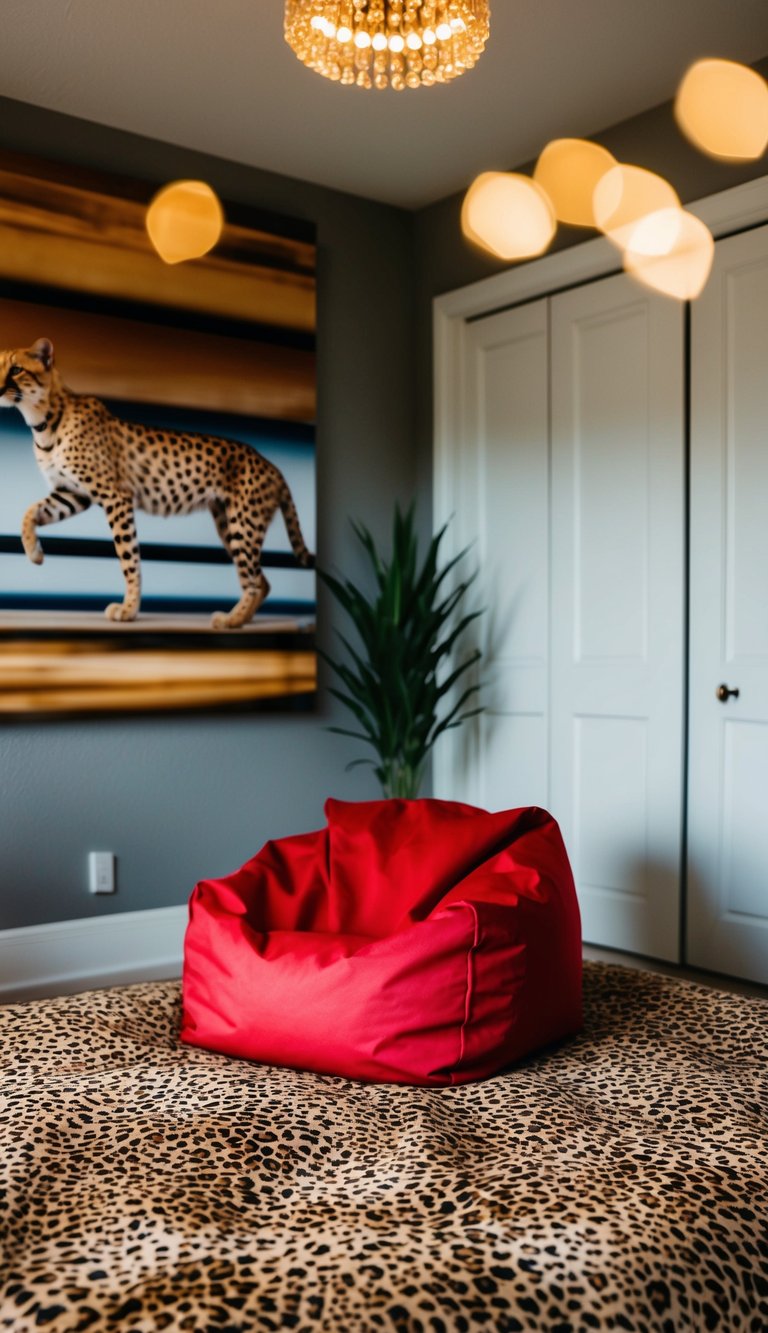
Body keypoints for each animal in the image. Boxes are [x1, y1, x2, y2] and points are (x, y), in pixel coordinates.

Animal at [0, 343, 313, 634]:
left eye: (16, 369)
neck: (44, 420)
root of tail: (272, 465)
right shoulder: (73, 494)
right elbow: (30, 512)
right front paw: (34, 552)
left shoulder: (116, 497)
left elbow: (128, 558)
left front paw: (129, 610)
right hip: (228, 522)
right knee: (262, 580)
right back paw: (242, 619)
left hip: (243, 524)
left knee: (253, 579)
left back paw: (231, 619)